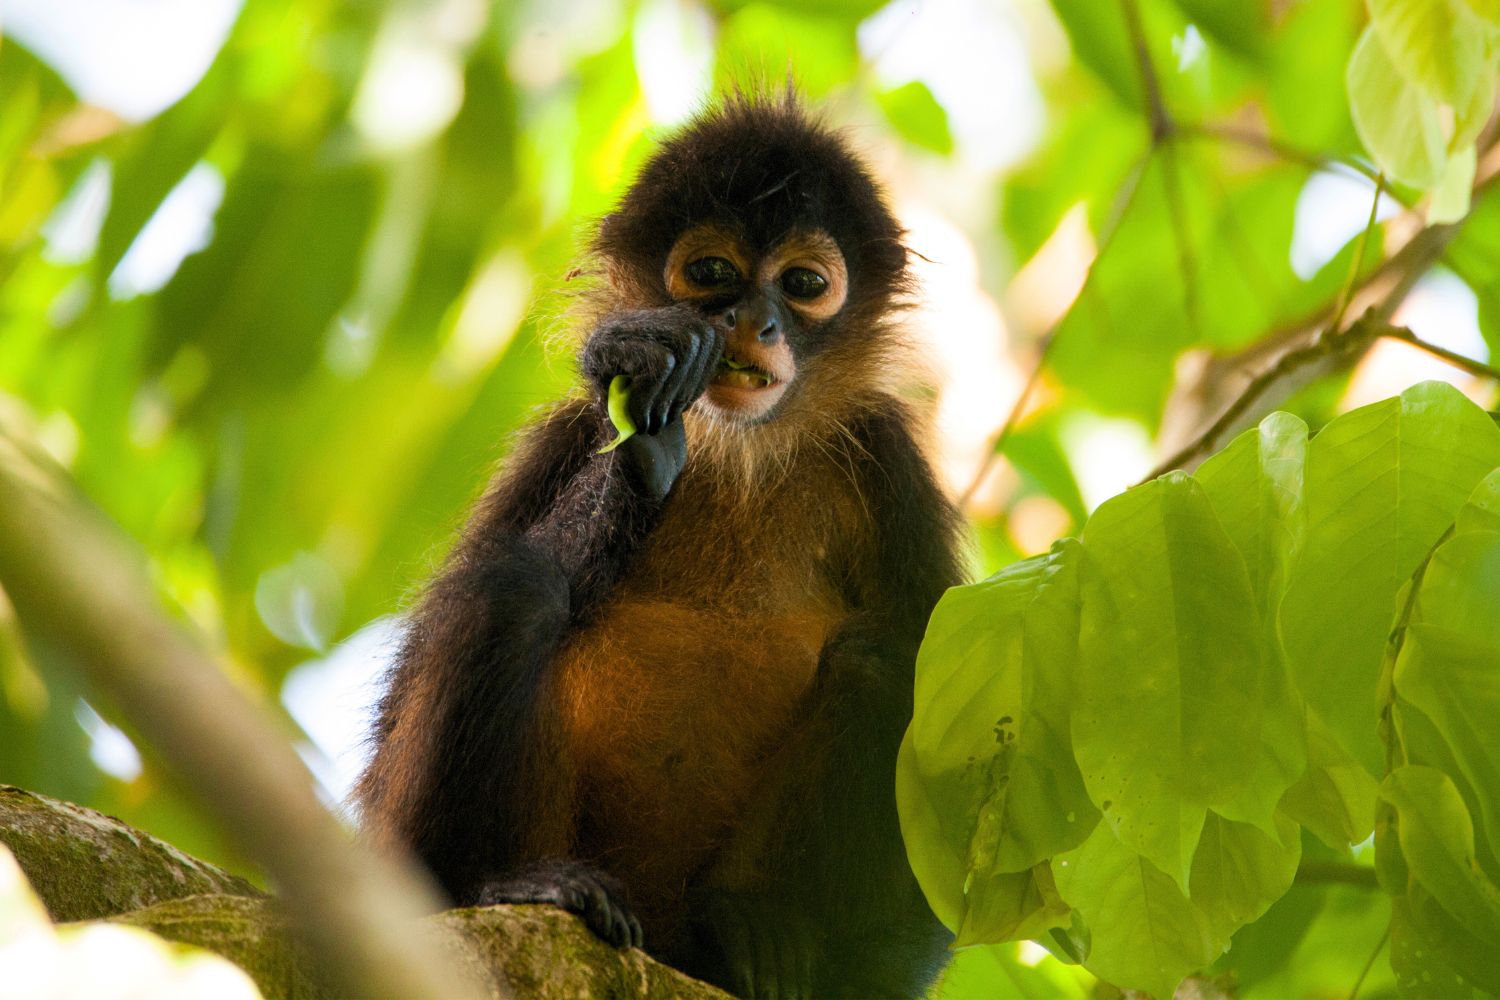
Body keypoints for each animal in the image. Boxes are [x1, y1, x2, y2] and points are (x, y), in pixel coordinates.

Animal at [355, 93, 966, 999]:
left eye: (804, 285)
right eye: (712, 273)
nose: (755, 321)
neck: (739, 451)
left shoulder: (888, 459)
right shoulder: (566, 428)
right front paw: (643, 438)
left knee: (885, 664)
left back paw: (748, 934)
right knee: (516, 585)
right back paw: (516, 884)